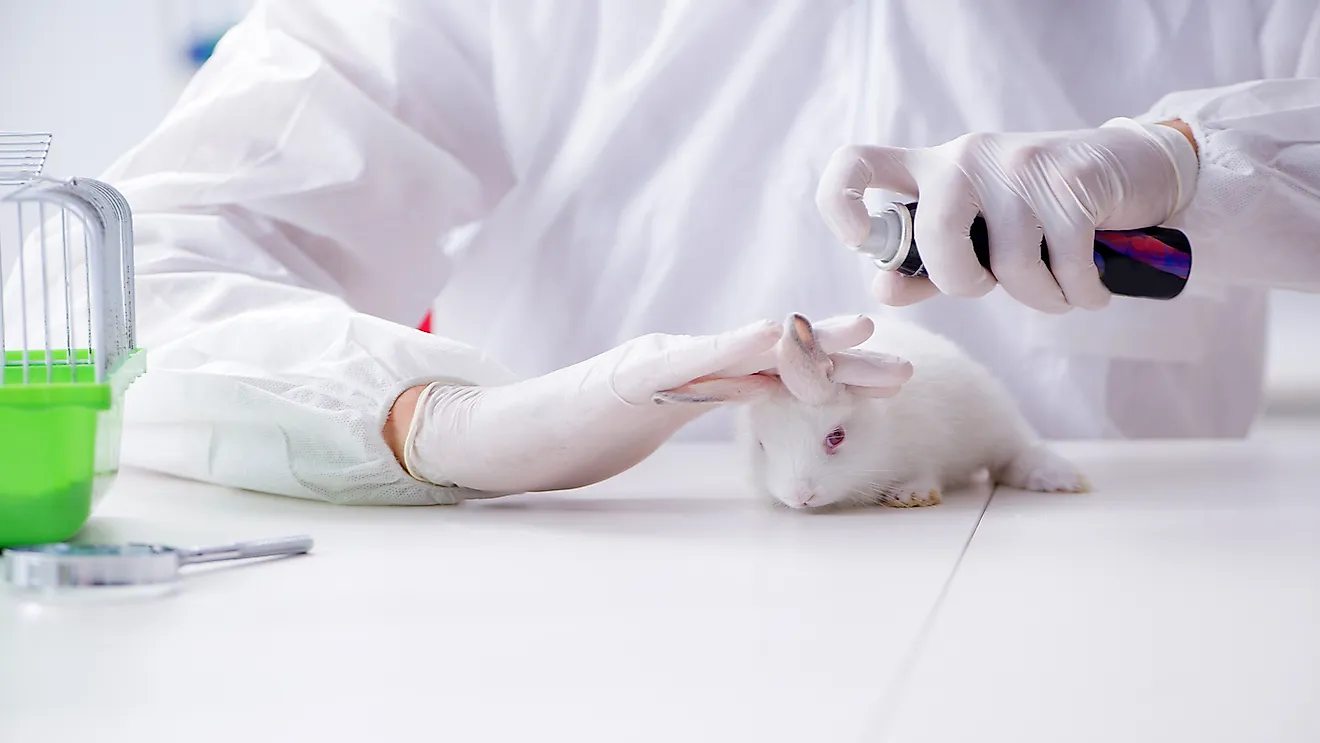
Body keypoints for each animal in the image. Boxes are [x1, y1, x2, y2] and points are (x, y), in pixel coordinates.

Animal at [654, 314, 1087, 512]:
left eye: (836, 437)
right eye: (761, 446)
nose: (801, 497)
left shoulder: (927, 446)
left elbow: (925, 473)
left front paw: (909, 496)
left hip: (996, 423)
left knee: (1015, 456)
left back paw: (1062, 480)